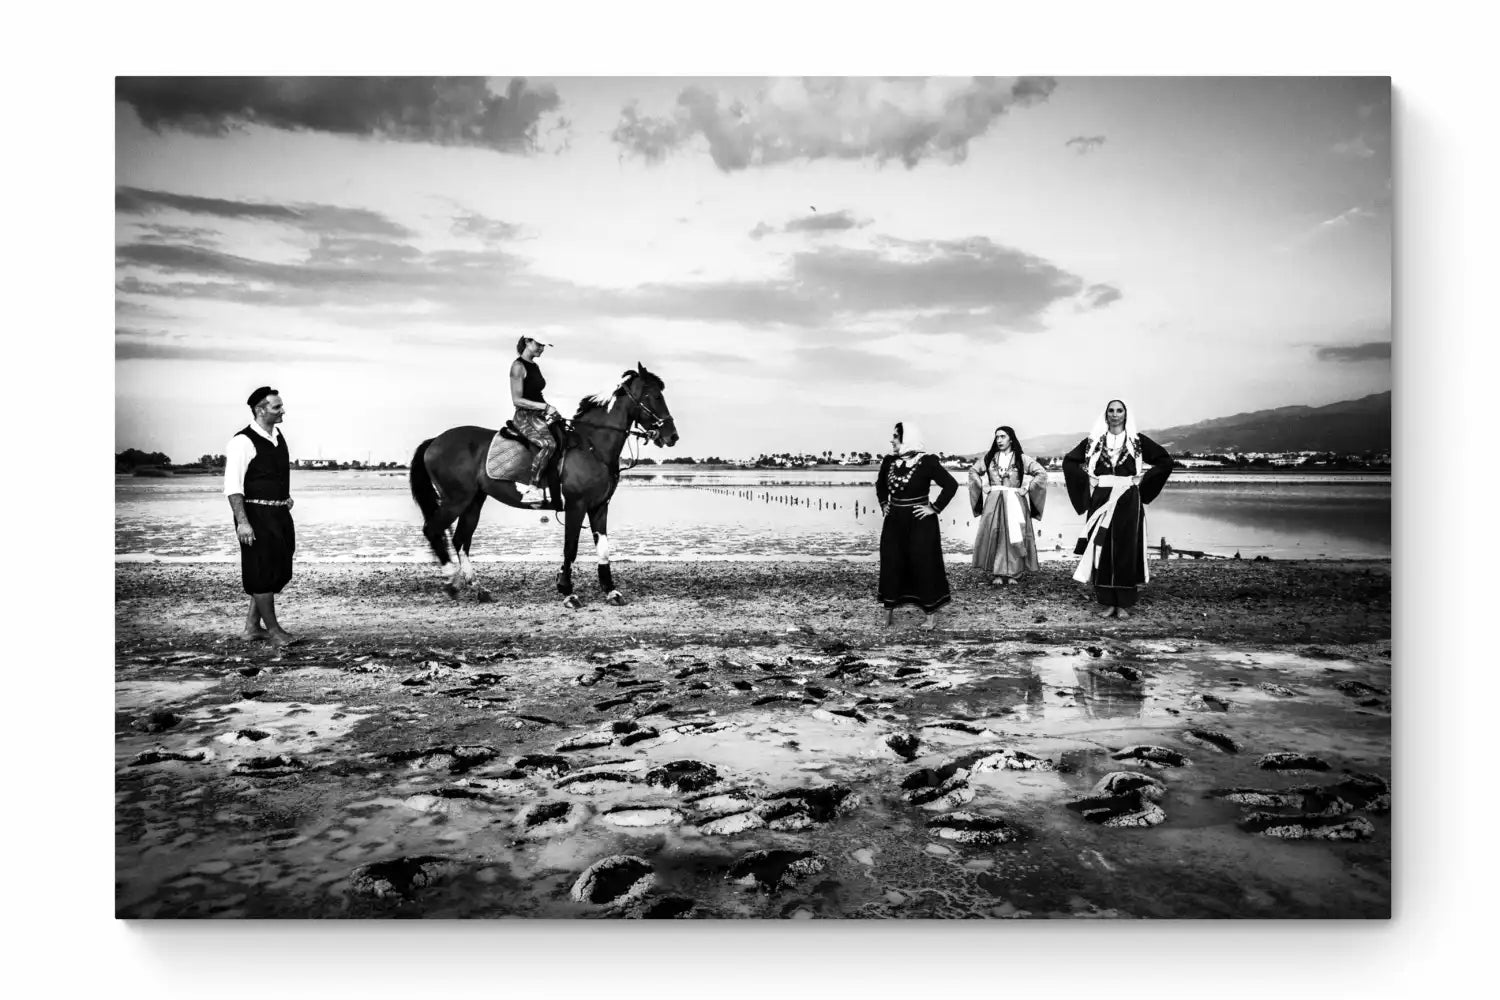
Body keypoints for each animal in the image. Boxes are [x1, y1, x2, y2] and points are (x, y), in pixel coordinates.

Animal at [405, 365, 675, 605]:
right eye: (654, 396)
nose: (672, 436)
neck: (592, 445)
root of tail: (434, 441)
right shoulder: (576, 505)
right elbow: (570, 548)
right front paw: (567, 592)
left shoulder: (599, 507)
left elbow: (604, 549)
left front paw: (611, 591)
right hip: (455, 500)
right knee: (433, 530)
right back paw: (452, 581)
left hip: (473, 501)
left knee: (461, 539)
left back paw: (479, 589)